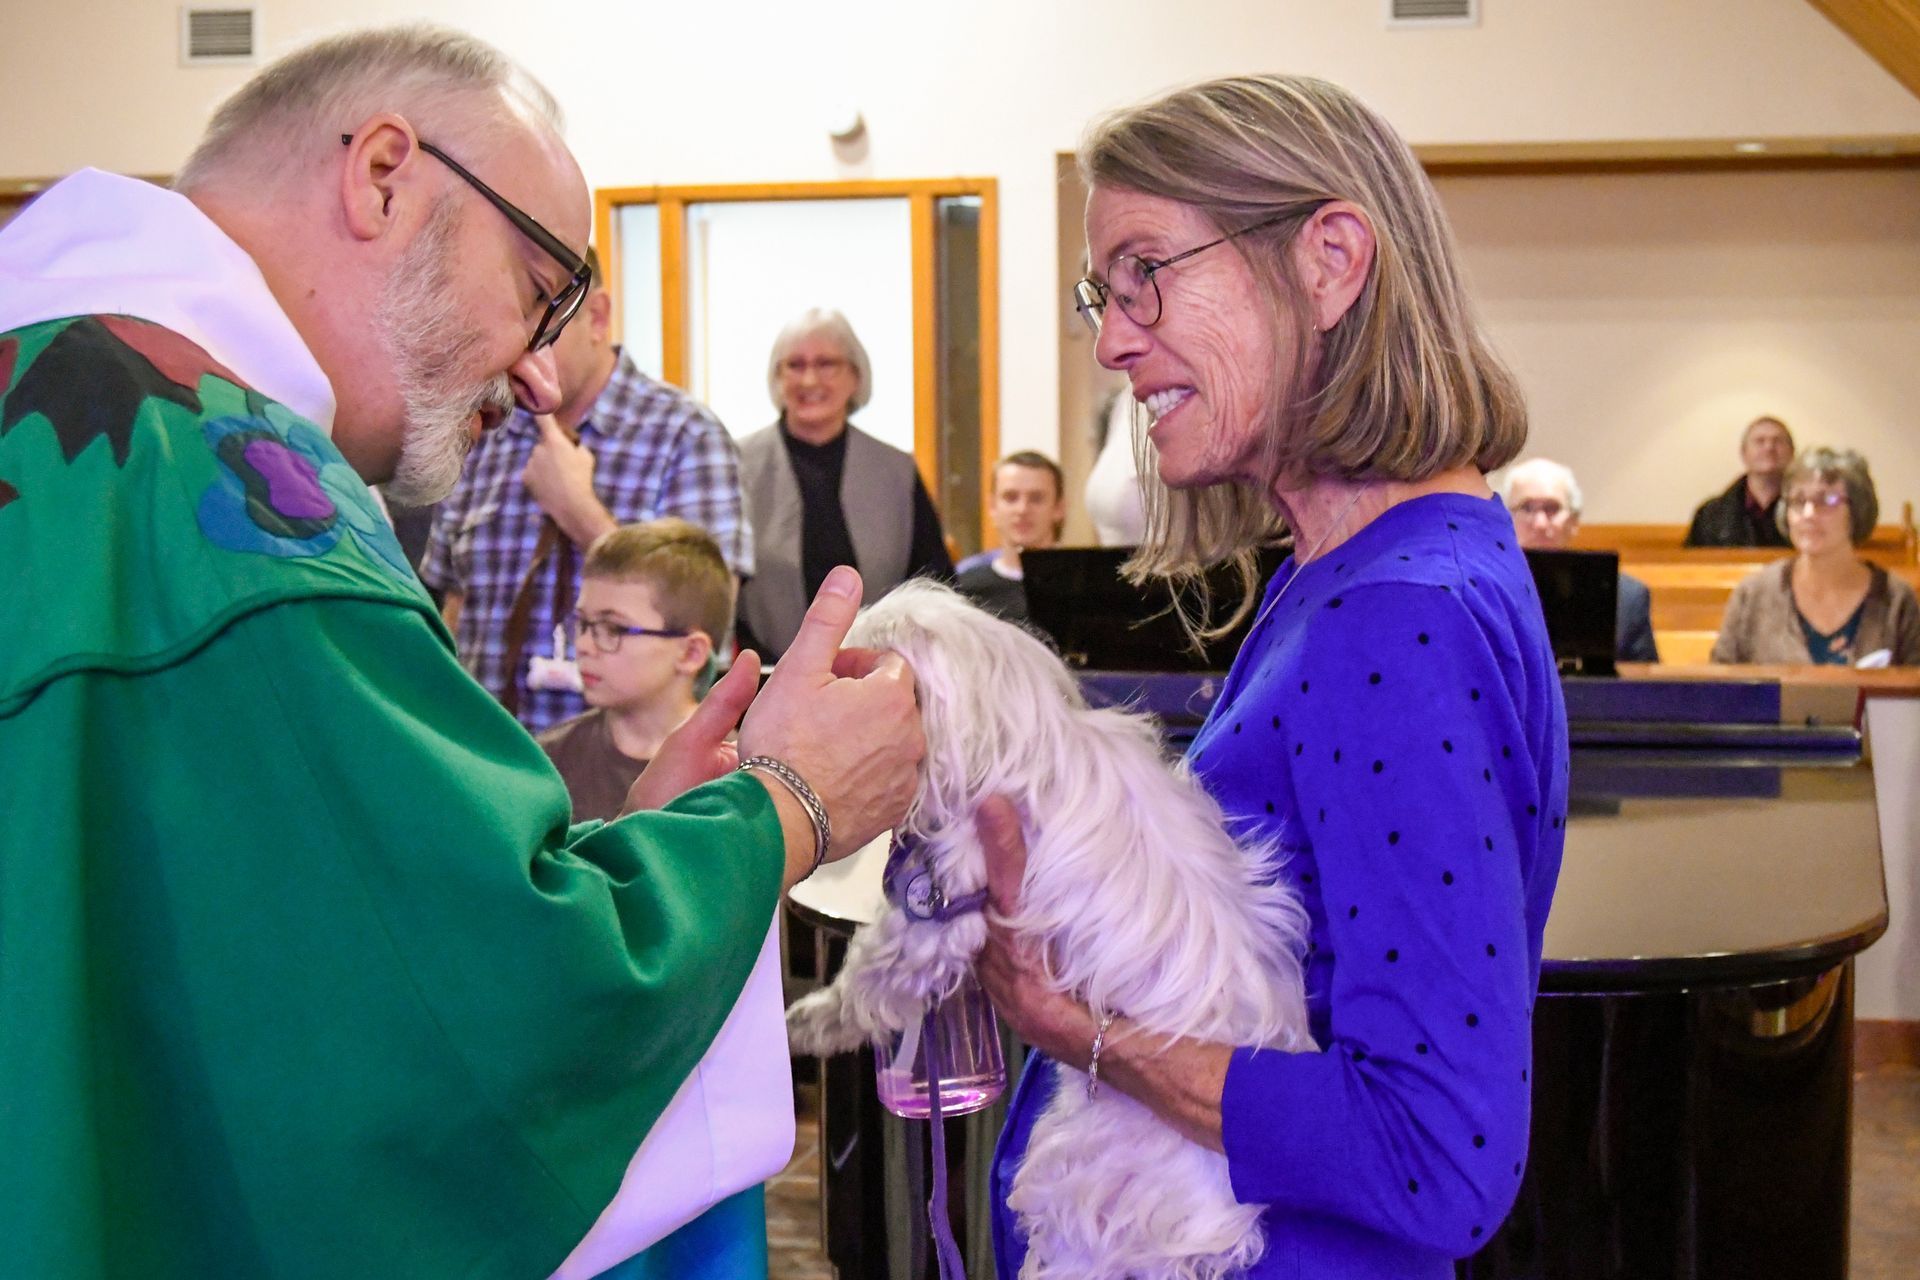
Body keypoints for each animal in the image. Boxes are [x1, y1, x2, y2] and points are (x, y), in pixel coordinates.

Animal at [785, 580, 1313, 1280]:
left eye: (858, 660)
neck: (1022, 732)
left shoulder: (946, 906)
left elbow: (869, 979)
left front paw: (806, 1022)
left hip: (1081, 1174)